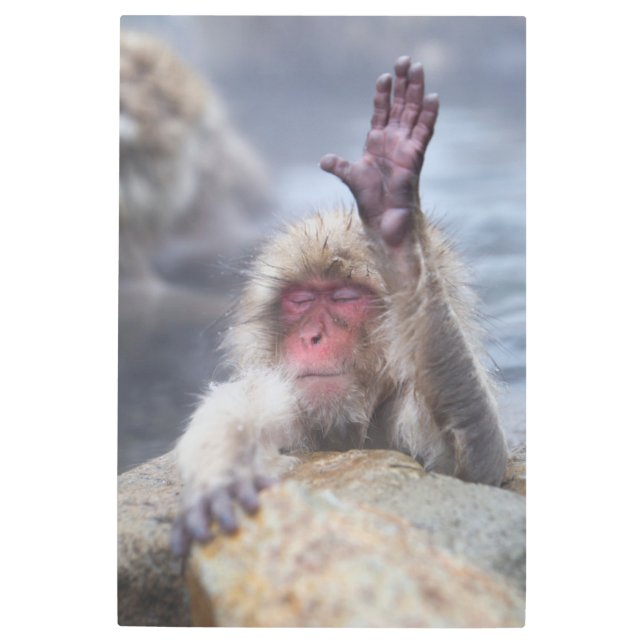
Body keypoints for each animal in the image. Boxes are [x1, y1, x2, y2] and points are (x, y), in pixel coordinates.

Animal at [171, 56, 508, 556]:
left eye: (346, 297)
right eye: (301, 300)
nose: (315, 336)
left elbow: (481, 467)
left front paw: (400, 242)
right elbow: (235, 410)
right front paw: (222, 479)